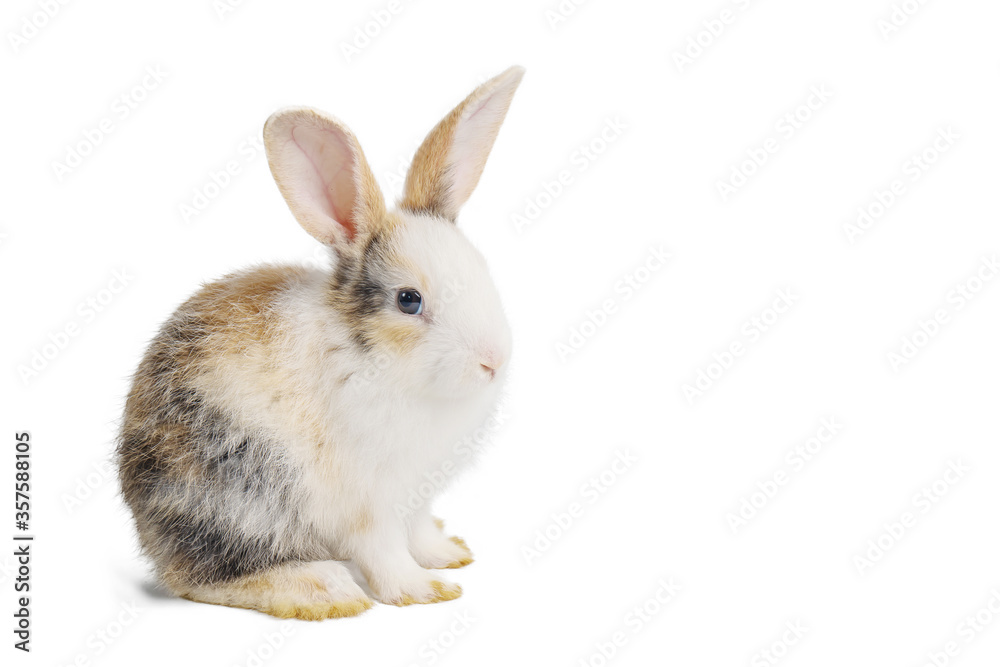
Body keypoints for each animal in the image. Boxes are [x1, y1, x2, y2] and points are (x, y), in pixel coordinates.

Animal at [116, 66, 524, 620]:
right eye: (409, 300)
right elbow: (384, 550)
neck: (374, 360)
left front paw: (447, 556)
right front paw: (423, 591)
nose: (493, 361)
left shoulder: (416, 496)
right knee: (205, 576)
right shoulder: (370, 503)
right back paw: (324, 589)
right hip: (243, 492)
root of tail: (146, 527)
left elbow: (417, 531)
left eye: (482, 270)